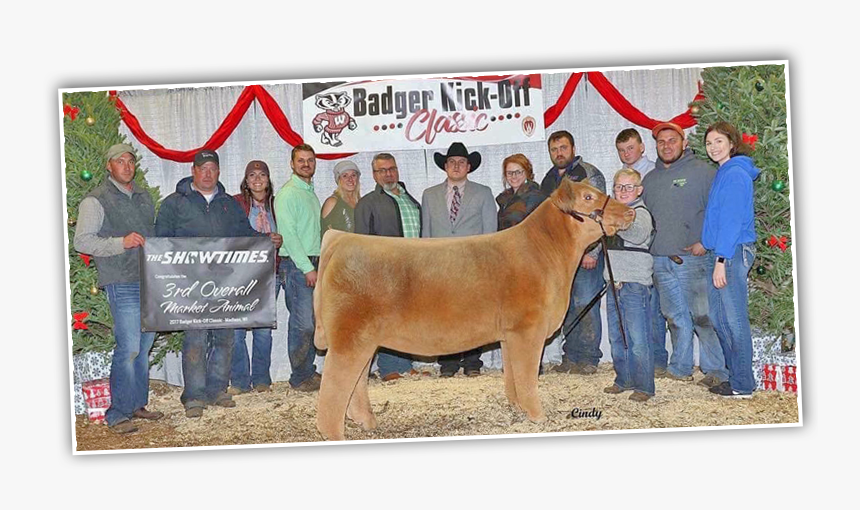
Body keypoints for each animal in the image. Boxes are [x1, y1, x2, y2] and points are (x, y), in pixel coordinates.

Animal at [312, 179, 635, 440]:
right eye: (588, 197)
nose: (630, 212)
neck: (545, 253)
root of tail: (342, 238)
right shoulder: (528, 329)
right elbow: (528, 376)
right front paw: (537, 416)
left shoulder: (510, 335)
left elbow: (513, 376)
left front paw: (517, 408)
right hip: (350, 338)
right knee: (333, 388)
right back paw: (335, 434)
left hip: (365, 340)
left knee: (356, 384)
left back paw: (367, 423)